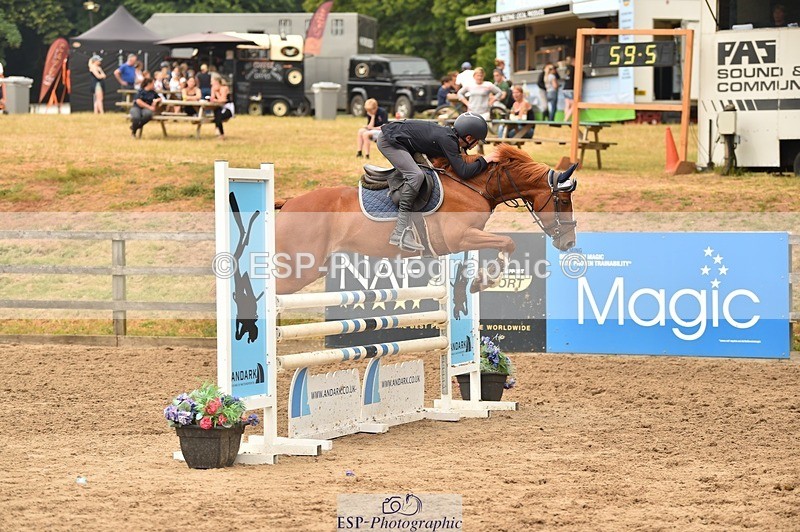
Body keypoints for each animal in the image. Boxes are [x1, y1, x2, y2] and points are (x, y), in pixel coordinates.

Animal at [274, 143, 577, 295]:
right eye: (563, 201)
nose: (570, 243)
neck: (474, 185)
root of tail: (289, 202)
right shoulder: (459, 238)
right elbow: (507, 243)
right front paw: (484, 282)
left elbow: (505, 245)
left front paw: (480, 281)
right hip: (302, 270)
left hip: (315, 267)